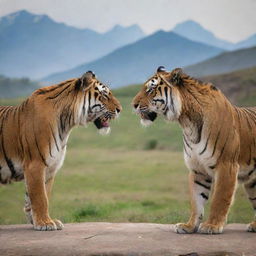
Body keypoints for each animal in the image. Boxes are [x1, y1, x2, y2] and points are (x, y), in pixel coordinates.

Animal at [0, 71, 122, 231]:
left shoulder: (50, 166)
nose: (120, 109)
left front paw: (38, 221)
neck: (66, 124)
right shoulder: (35, 164)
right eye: (104, 95)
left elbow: (39, 195)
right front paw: (44, 223)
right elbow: (40, 197)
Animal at [132, 65, 256, 234]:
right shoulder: (197, 169)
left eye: (151, 89)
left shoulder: (226, 165)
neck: (186, 122)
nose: (133, 105)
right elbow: (196, 201)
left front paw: (212, 226)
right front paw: (189, 226)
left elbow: (220, 199)